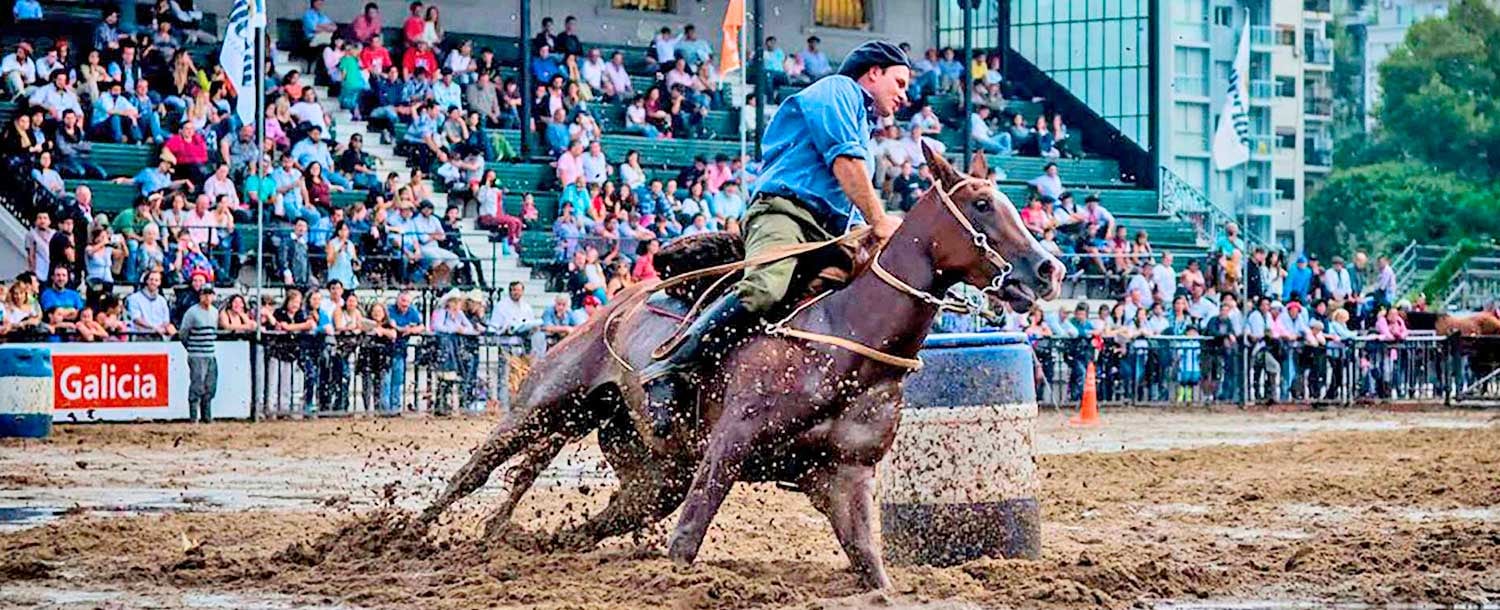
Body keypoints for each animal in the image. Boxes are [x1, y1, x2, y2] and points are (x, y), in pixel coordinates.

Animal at [416, 145, 1065, 590]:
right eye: (981, 203)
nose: (1048, 269)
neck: (845, 338)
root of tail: (613, 308)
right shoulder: (729, 445)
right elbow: (687, 542)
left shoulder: (846, 475)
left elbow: (872, 567)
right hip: (544, 404)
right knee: (472, 473)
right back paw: (405, 535)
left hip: (653, 478)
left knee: (588, 524)